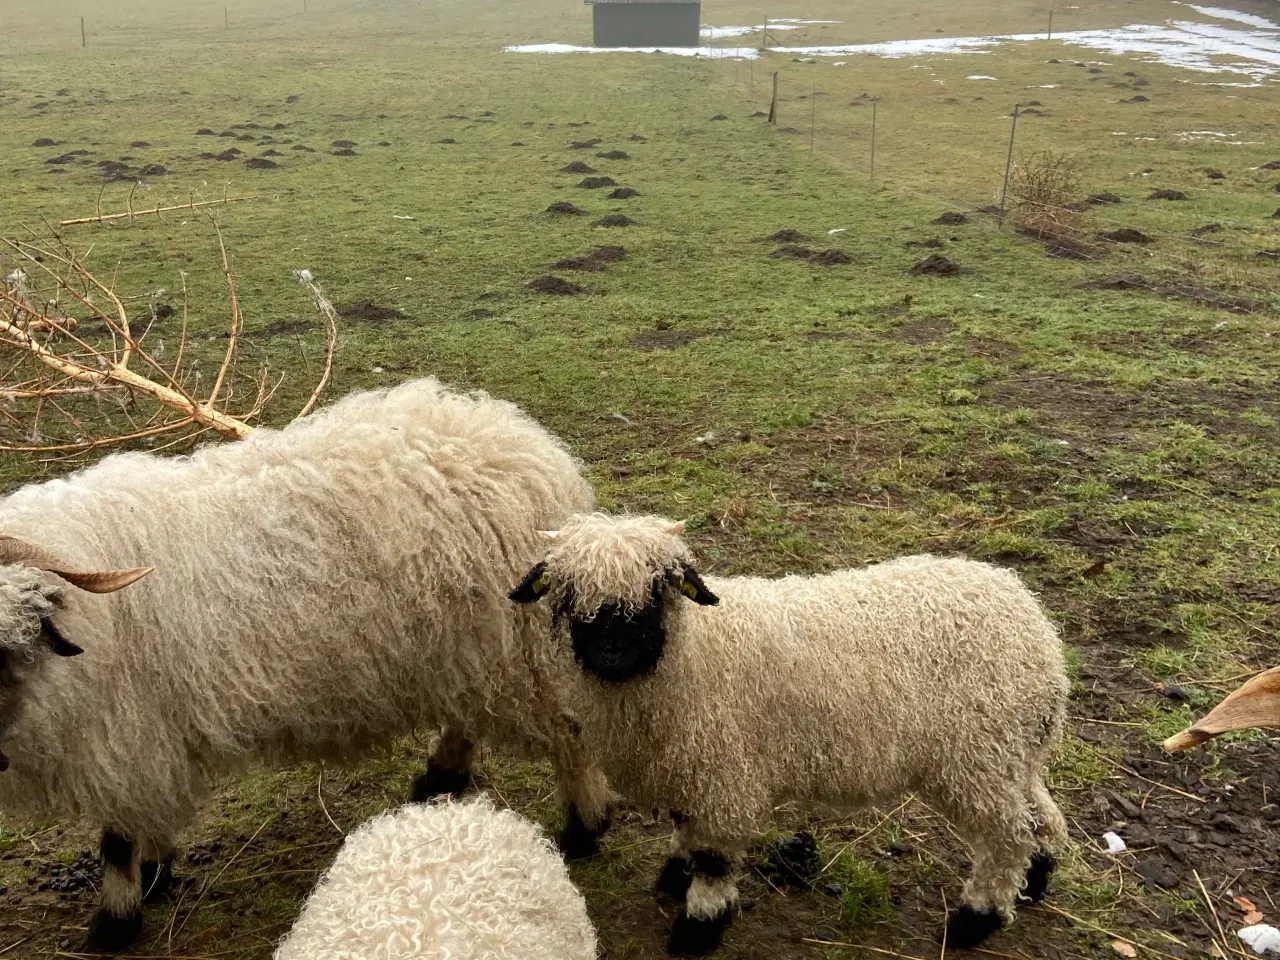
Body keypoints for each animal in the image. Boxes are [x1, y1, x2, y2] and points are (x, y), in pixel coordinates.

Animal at [509, 514, 1070, 957]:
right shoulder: (694, 768)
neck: (689, 656)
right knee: (1039, 813)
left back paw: (977, 919)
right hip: (1010, 752)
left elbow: (713, 858)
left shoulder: (724, 774)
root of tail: (1037, 628)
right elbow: (686, 829)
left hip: (976, 757)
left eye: (658, 589)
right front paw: (675, 875)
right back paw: (1036, 879)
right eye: (568, 595)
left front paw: (698, 927)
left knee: (1007, 837)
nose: (613, 654)